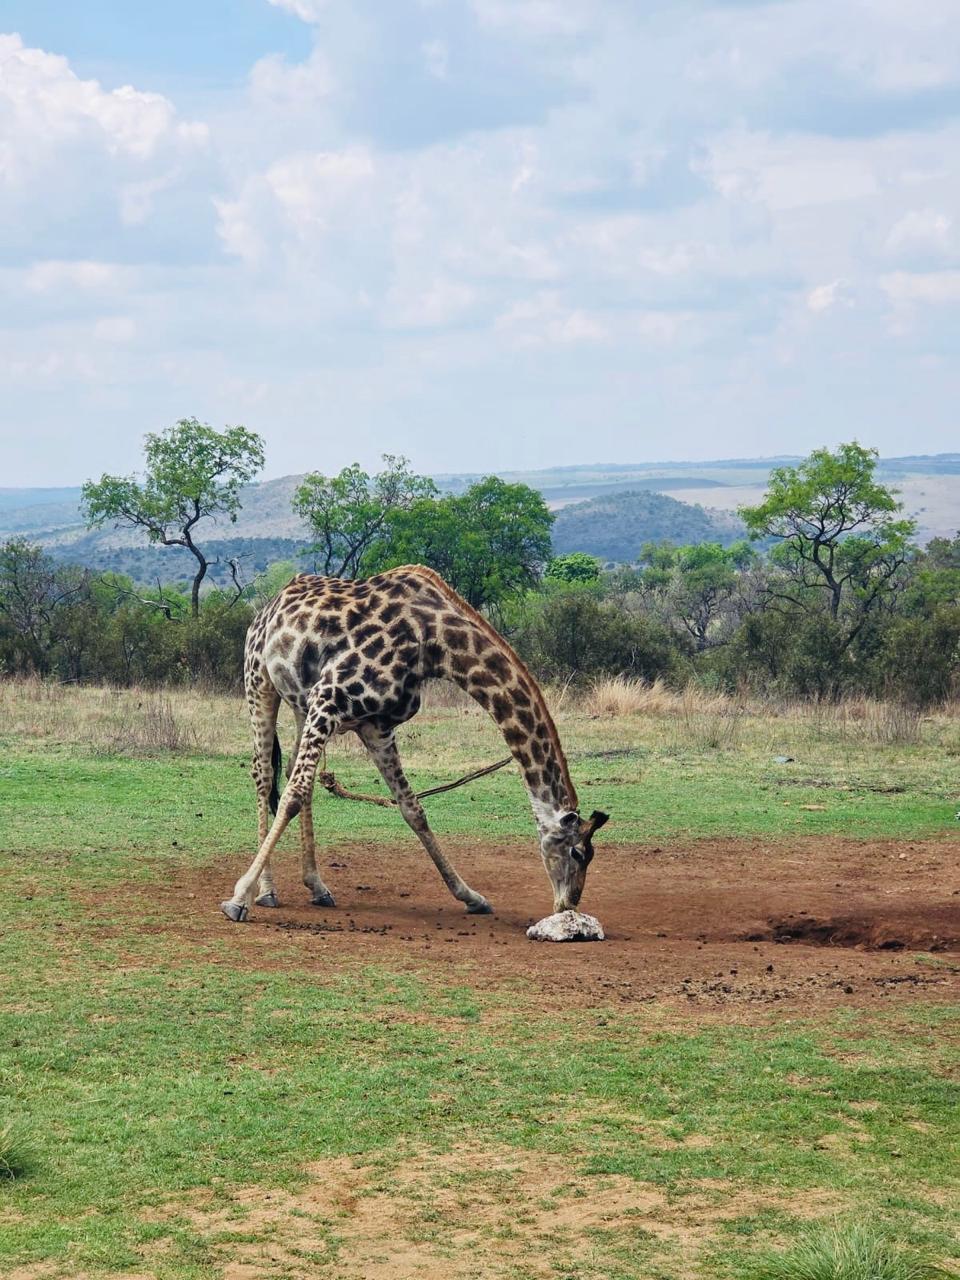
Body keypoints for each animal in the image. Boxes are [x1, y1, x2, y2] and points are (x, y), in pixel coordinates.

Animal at [221, 565, 609, 923]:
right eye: (578, 853)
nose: (568, 904)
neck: (433, 645)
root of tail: (267, 608)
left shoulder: (376, 726)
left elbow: (412, 809)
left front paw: (471, 896)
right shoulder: (329, 697)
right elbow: (293, 795)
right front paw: (238, 897)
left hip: (301, 702)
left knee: (292, 772)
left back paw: (317, 886)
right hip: (259, 679)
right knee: (265, 775)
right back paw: (266, 891)